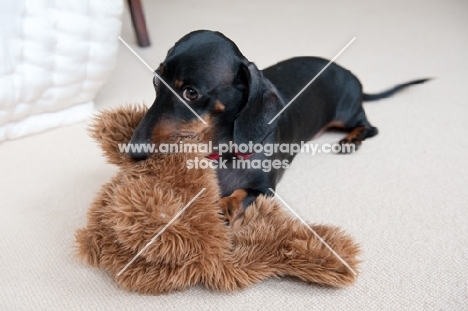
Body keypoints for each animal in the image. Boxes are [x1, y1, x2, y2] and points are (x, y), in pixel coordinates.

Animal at [127, 30, 428, 223]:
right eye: (156, 81)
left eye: (190, 92)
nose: (132, 150)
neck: (223, 151)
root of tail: (352, 76)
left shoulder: (265, 189)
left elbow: (241, 194)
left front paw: (224, 209)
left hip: (346, 113)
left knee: (370, 126)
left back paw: (352, 140)